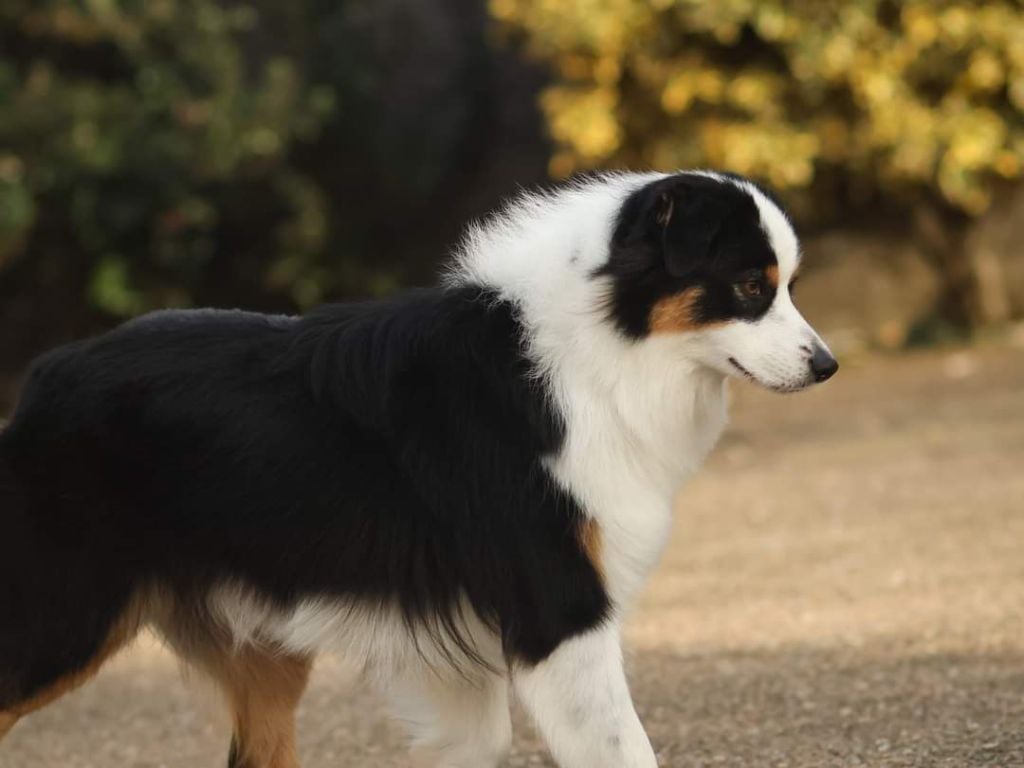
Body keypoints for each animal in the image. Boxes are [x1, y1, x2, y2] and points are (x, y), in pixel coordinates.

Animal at [0, 171, 836, 767]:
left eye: (788, 286)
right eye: (751, 286)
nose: (827, 366)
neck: (600, 352)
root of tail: (42, 380)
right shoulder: (561, 612)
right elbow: (625, 748)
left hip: (264, 654)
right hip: (64, 617)